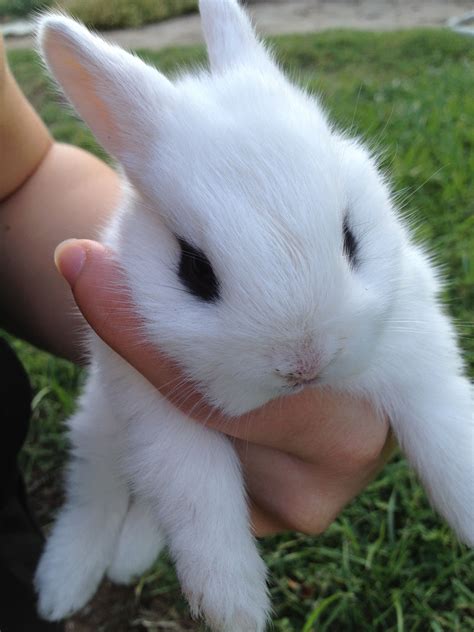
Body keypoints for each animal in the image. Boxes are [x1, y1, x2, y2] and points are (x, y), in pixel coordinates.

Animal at [35, 1, 472, 632]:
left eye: (350, 237)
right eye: (194, 270)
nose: (303, 363)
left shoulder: (419, 344)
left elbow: (444, 428)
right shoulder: (153, 405)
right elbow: (197, 494)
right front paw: (233, 605)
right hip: (101, 427)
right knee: (96, 494)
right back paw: (63, 584)